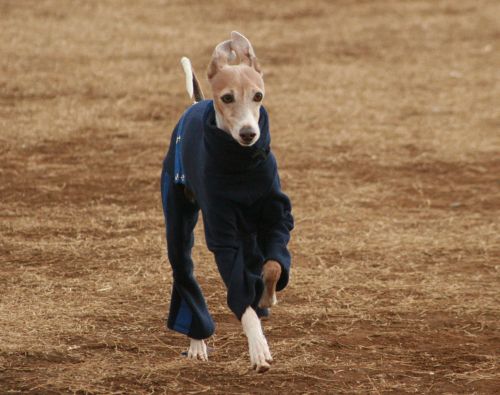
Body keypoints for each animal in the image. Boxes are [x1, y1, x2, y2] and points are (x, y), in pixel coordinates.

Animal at [160, 31, 292, 374]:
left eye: (258, 96)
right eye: (228, 98)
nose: (248, 133)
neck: (241, 164)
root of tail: (196, 104)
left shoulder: (277, 219)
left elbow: (274, 265)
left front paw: (268, 296)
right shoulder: (223, 236)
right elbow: (240, 294)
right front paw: (258, 347)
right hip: (177, 220)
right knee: (184, 270)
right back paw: (196, 342)